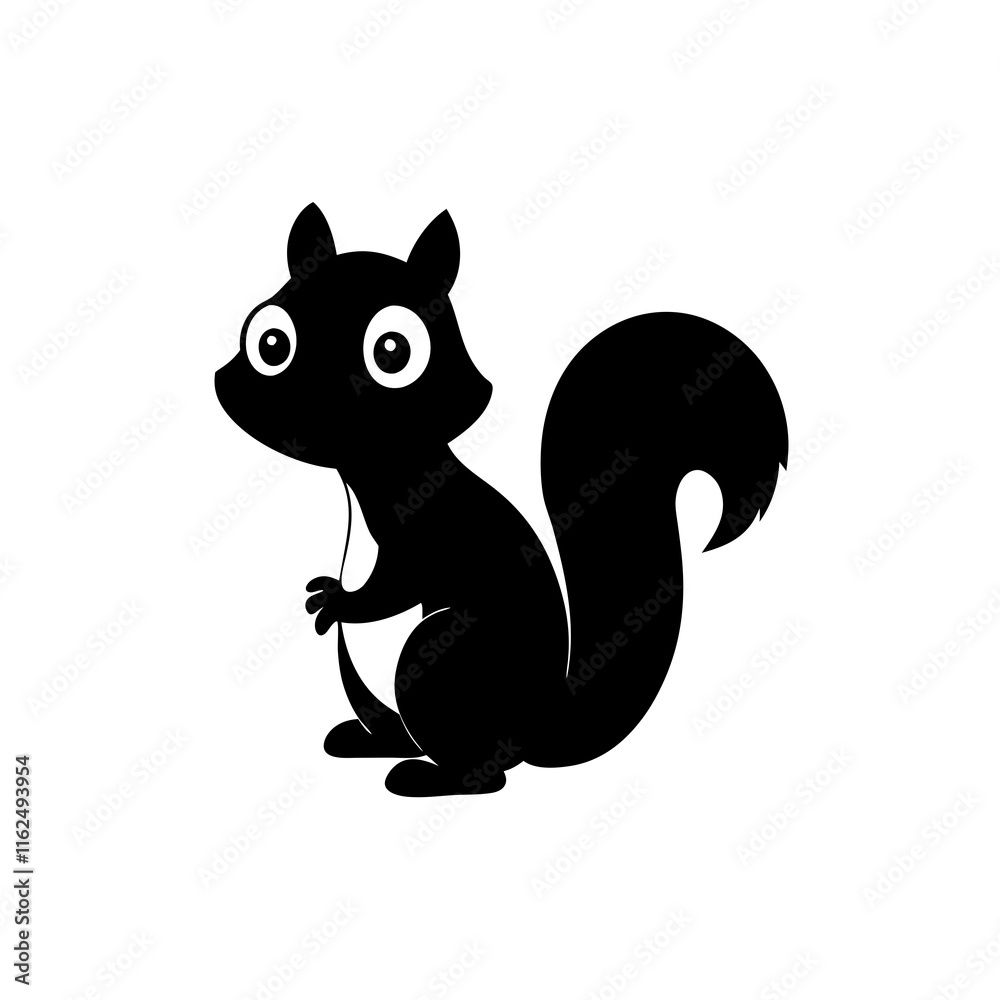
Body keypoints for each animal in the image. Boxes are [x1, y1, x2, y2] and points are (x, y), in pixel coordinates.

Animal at [215, 203, 788, 797]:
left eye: (393, 351)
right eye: (270, 342)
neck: (373, 472)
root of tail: (540, 725)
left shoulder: (428, 530)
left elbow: (396, 585)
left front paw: (340, 601)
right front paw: (328, 591)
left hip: (442, 658)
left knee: (487, 773)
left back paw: (426, 777)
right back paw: (367, 742)